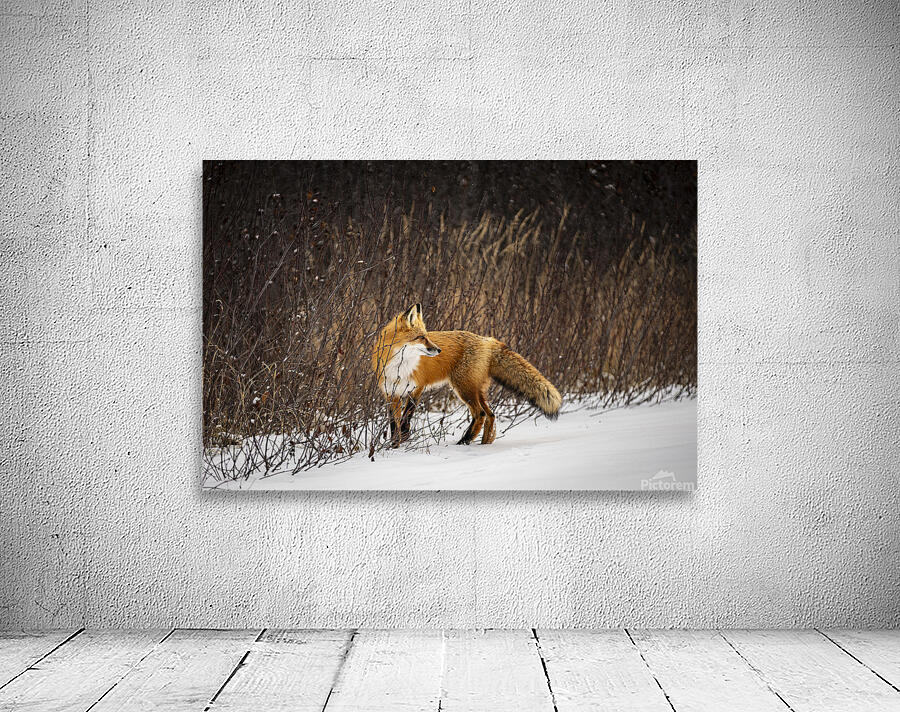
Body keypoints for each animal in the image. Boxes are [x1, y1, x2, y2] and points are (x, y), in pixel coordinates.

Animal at [372, 303, 562, 446]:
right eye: (421, 337)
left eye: (426, 336)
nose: (438, 350)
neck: (400, 366)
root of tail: (487, 340)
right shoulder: (391, 393)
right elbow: (393, 423)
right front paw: (394, 445)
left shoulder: (417, 388)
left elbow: (406, 419)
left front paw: (403, 441)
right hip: (475, 389)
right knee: (491, 414)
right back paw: (484, 443)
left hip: (463, 388)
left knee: (480, 414)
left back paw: (464, 442)